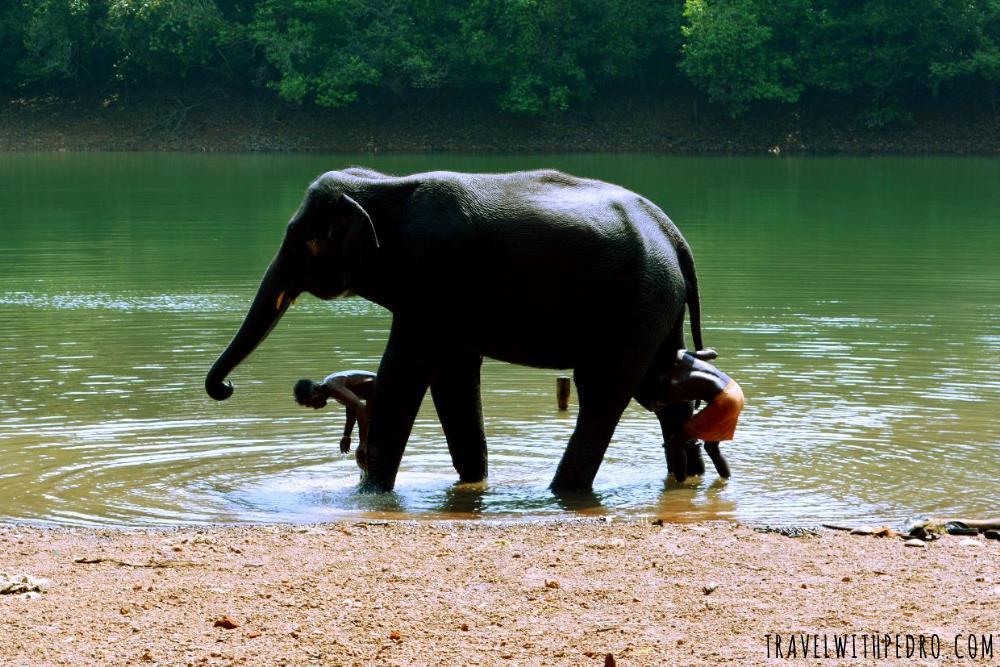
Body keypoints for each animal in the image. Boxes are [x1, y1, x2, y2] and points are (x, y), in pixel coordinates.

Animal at [205, 167, 704, 493]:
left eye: (301, 241)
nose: (226, 387)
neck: (384, 185)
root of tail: (674, 235)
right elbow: (453, 376)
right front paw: (471, 482)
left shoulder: (433, 279)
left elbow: (406, 371)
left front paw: (368, 494)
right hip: (657, 306)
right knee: (666, 385)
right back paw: (690, 478)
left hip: (635, 306)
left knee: (602, 390)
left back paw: (563, 490)